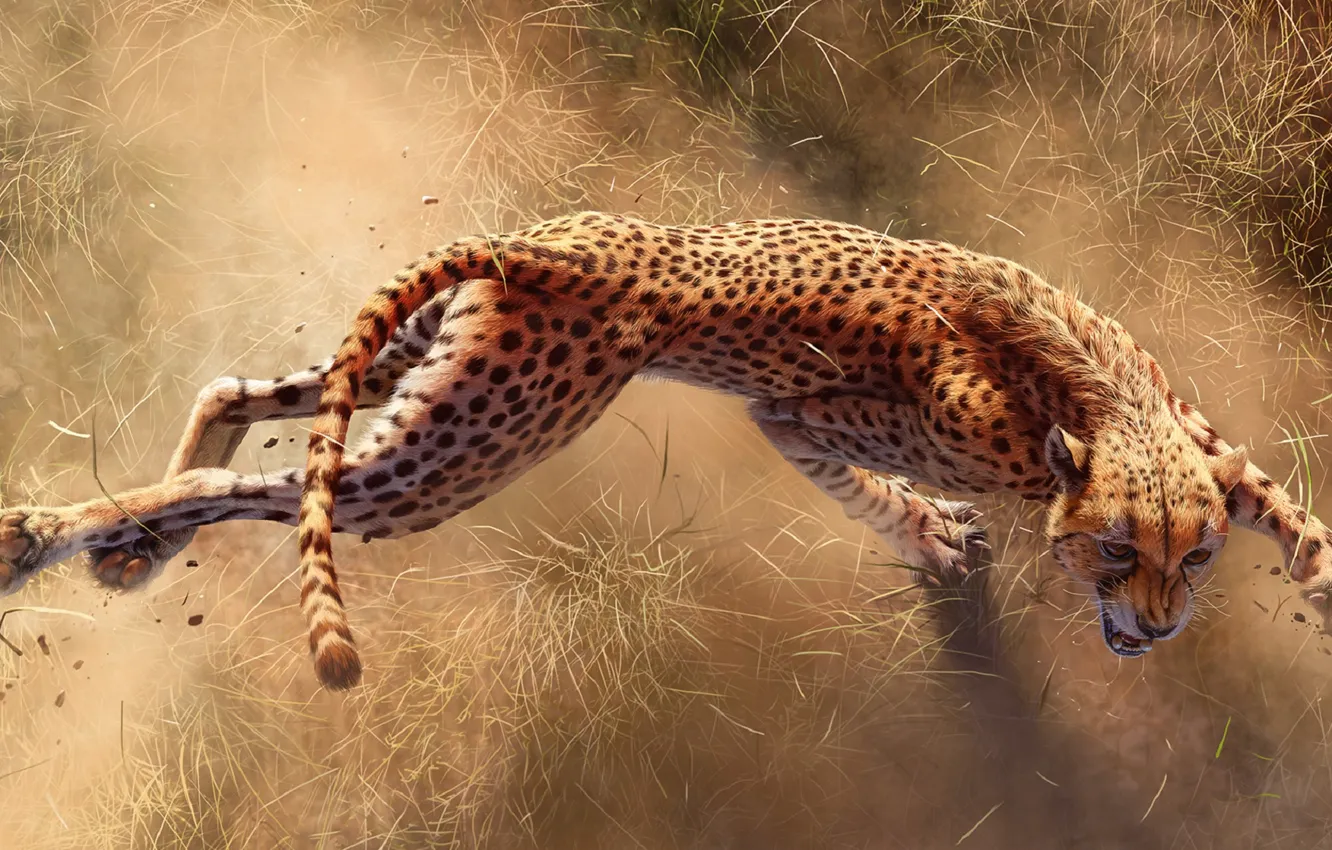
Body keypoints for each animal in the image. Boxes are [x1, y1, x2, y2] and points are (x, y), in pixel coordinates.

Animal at [1, 212, 1329, 690]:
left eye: (1193, 561)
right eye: (1112, 553)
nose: (1154, 628)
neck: (1098, 403)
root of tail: (539, 244)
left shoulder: (1199, 440)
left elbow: (1276, 498)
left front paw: (1314, 573)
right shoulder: (799, 418)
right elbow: (857, 478)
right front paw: (928, 529)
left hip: (413, 377)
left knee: (239, 401)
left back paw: (127, 552)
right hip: (451, 455)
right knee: (260, 485)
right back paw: (46, 538)